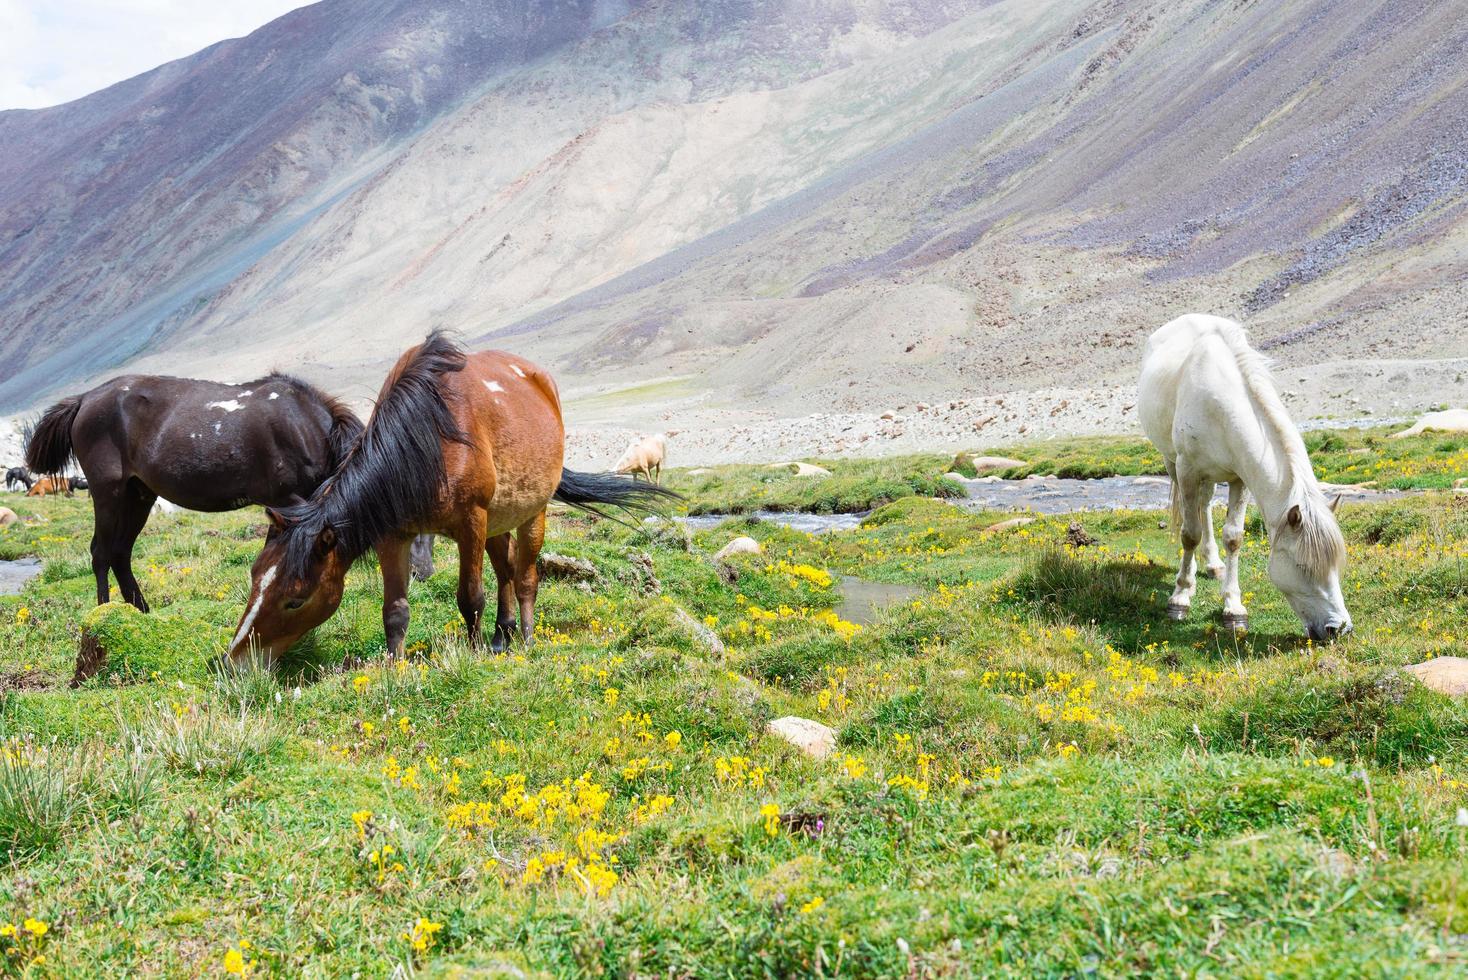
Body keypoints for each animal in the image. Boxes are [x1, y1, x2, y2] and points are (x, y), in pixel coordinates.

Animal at [27, 371, 364, 607]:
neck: (306, 428)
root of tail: (84, 400)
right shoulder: (289, 501)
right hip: (108, 493)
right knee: (101, 553)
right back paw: (104, 613)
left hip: (138, 496)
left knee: (120, 553)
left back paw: (141, 612)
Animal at [226, 334, 678, 666]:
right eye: (254, 577)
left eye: (295, 599)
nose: (236, 661)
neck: (425, 443)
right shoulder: (393, 535)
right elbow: (395, 609)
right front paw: (395, 666)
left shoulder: (470, 524)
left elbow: (470, 597)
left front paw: (473, 654)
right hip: (498, 522)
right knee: (506, 570)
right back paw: (502, 635)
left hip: (531, 513)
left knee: (526, 577)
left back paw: (526, 638)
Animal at [1133, 313, 1350, 645]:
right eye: (1302, 566)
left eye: (1336, 565)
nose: (1338, 629)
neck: (1219, 404)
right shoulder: (1187, 470)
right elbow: (1189, 534)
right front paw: (1180, 598)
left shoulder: (1239, 478)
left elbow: (1233, 537)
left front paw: (1233, 609)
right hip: (1173, 464)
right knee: (1193, 515)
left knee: (1205, 506)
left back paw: (1213, 565)